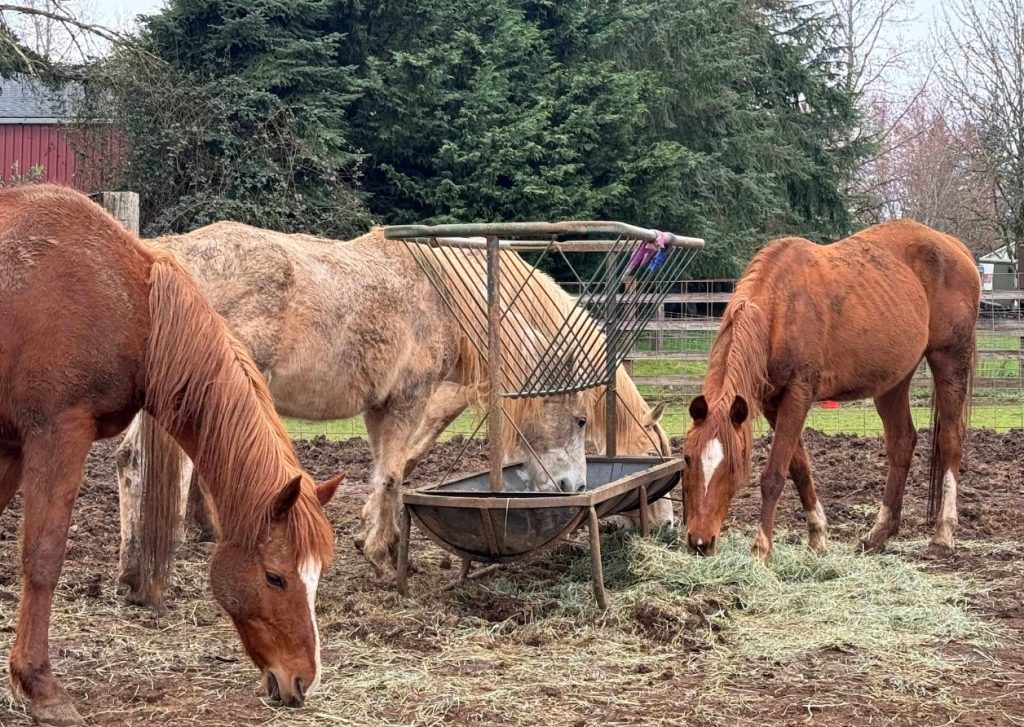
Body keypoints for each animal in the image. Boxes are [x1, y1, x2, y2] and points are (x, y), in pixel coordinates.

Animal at [0, 186, 340, 725]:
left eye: (316, 576)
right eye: (275, 577)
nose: (302, 681)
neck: (130, 306)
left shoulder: (12, 444)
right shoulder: (57, 435)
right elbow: (43, 556)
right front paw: (40, 687)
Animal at [116, 223, 671, 604]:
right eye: (580, 420)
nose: (575, 487)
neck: (446, 298)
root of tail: (170, 258)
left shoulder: (380, 407)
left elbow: (395, 471)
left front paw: (384, 543)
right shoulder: (413, 397)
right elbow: (392, 474)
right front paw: (383, 559)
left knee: (131, 463)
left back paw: (137, 573)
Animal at [680, 219, 979, 559]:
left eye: (733, 464)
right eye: (687, 458)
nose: (700, 542)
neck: (780, 308)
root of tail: (955, 246)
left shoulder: (798, 395)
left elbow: (774, 475)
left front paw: (761, 549)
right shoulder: (772, 402)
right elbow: (798, 468)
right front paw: (817, 536)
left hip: (950, 360)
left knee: (950, 442)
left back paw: (943, 533)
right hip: (893, 381)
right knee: (902, 443)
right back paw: (878, 533)